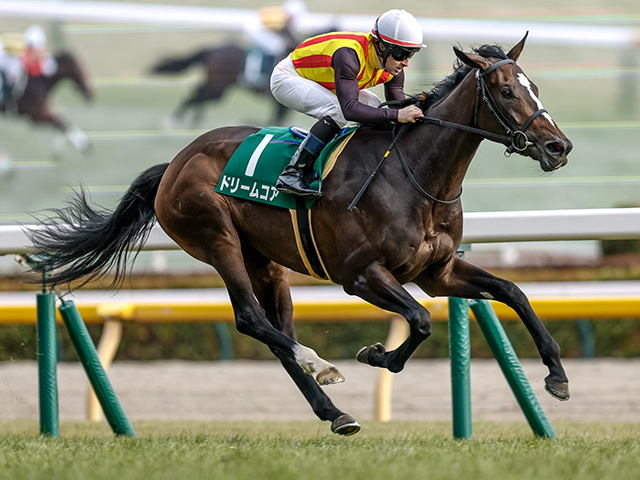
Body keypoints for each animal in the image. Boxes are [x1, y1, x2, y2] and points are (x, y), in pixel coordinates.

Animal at [151, 44, 290, 127]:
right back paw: (174, 121)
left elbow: (275, 119)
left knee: (198, 94)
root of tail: (210, 50)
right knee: (195, 96)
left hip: (214, 86)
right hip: (217, 87)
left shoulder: (280, 105)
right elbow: (276, 119)